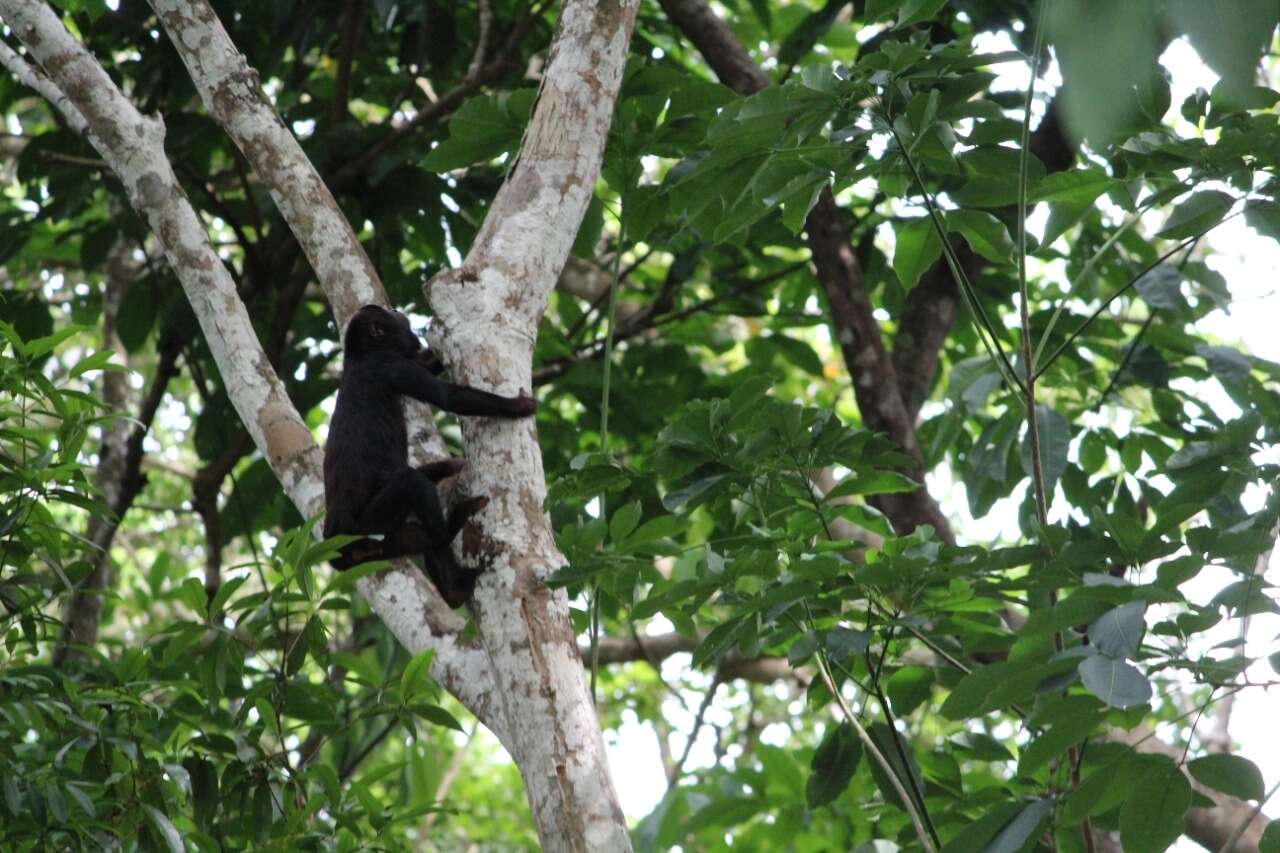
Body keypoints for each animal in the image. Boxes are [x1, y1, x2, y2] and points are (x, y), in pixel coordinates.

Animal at [327, 306, 537, 604]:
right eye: (391, 315)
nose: (399, 311)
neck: (360, 354)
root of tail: (330, 535)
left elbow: (425, 363)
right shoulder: (389, 365)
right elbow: (447, 397)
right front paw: (517, 406)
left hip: (375, 544)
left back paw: (454, 590)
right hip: (363, 525)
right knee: (412, 482)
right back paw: (449, 528)